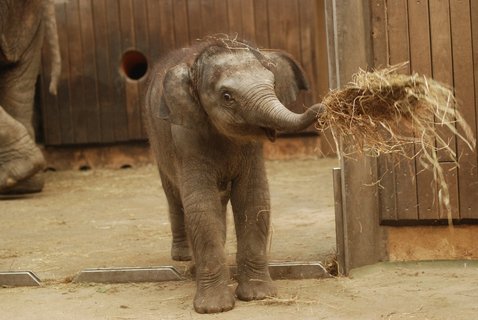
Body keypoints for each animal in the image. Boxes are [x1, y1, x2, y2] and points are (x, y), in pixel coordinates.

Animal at [143, 37, 322, 312]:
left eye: (273, 85)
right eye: (227, 96)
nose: (321, 106)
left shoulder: (251, 150)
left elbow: (253, 199)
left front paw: (259, 296)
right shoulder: (185, 137)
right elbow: (201, 205)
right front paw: (214, 308)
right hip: (157, 143)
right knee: (175, 197)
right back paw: (184, 257)